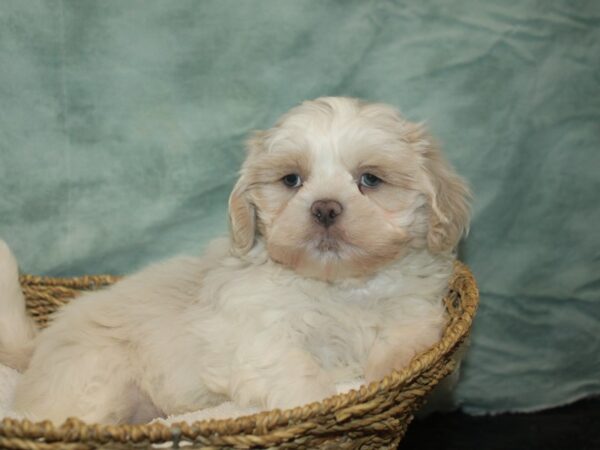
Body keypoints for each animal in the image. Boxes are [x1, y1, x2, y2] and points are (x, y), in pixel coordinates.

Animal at [0, 96, 468, 424]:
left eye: (370, 179)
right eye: (292, 180)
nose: (324, 208)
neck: (340, 284)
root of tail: (38, 350)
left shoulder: (416, 311)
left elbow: (406, 339)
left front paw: (387, 371)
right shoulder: (262, 338)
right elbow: (302, 378)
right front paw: (323, 400)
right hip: (97, 379)